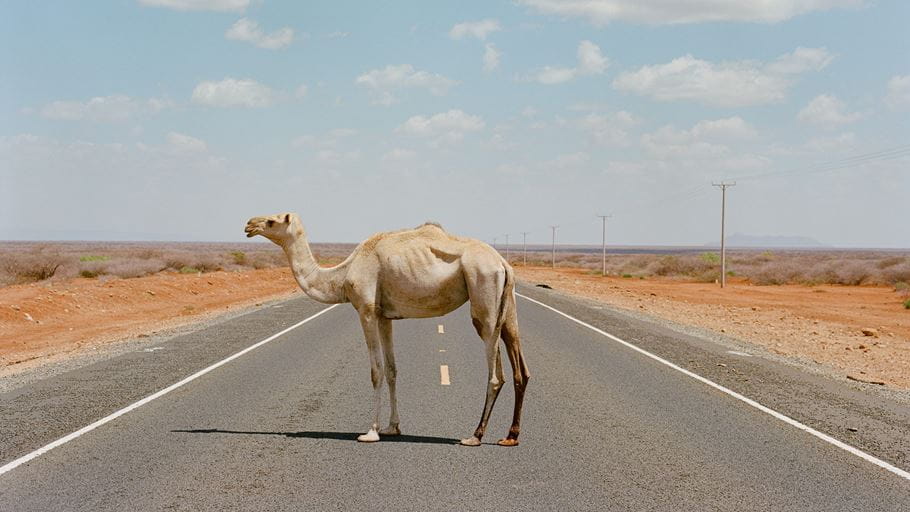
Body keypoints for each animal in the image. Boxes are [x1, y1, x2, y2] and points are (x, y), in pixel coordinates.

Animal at [246, 214, 532, 446]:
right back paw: (510, 436)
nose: (249, 224)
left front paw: (371, 432)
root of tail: (503, 263)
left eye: (271, 221)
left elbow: (376, 371)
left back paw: (475, 435)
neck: (343, 274)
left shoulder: (367, 310)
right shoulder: (385, 316)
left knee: (495, 373)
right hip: (507, 304)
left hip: (483, 292)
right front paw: (392, 428)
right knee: (520, 365)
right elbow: (393, 370)